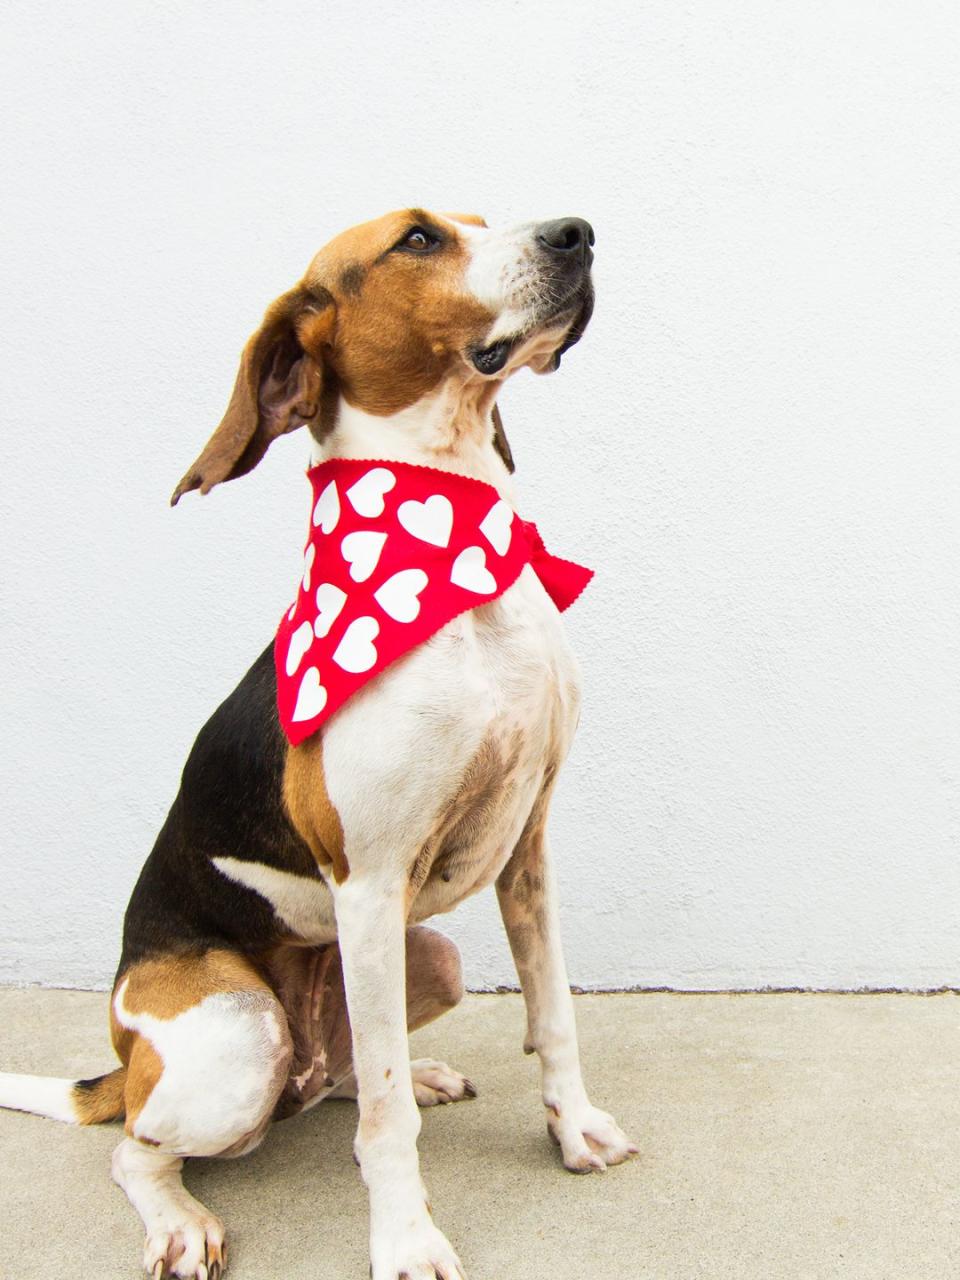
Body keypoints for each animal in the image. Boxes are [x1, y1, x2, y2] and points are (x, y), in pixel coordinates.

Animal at [1, 209, 640, 1280]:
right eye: (418, 239)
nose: (576, 233)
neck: (454, 538)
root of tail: (127, 1060)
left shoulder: (528, 846)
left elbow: (551, 1012)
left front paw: (574, 1129)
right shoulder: (370, 882)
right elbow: (384, 1131)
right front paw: (407, 1239)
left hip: (423, 959)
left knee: (345, 1073)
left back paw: (408, 1074)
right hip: (236, 1038)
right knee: (140, 1146)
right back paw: (180, 1218)